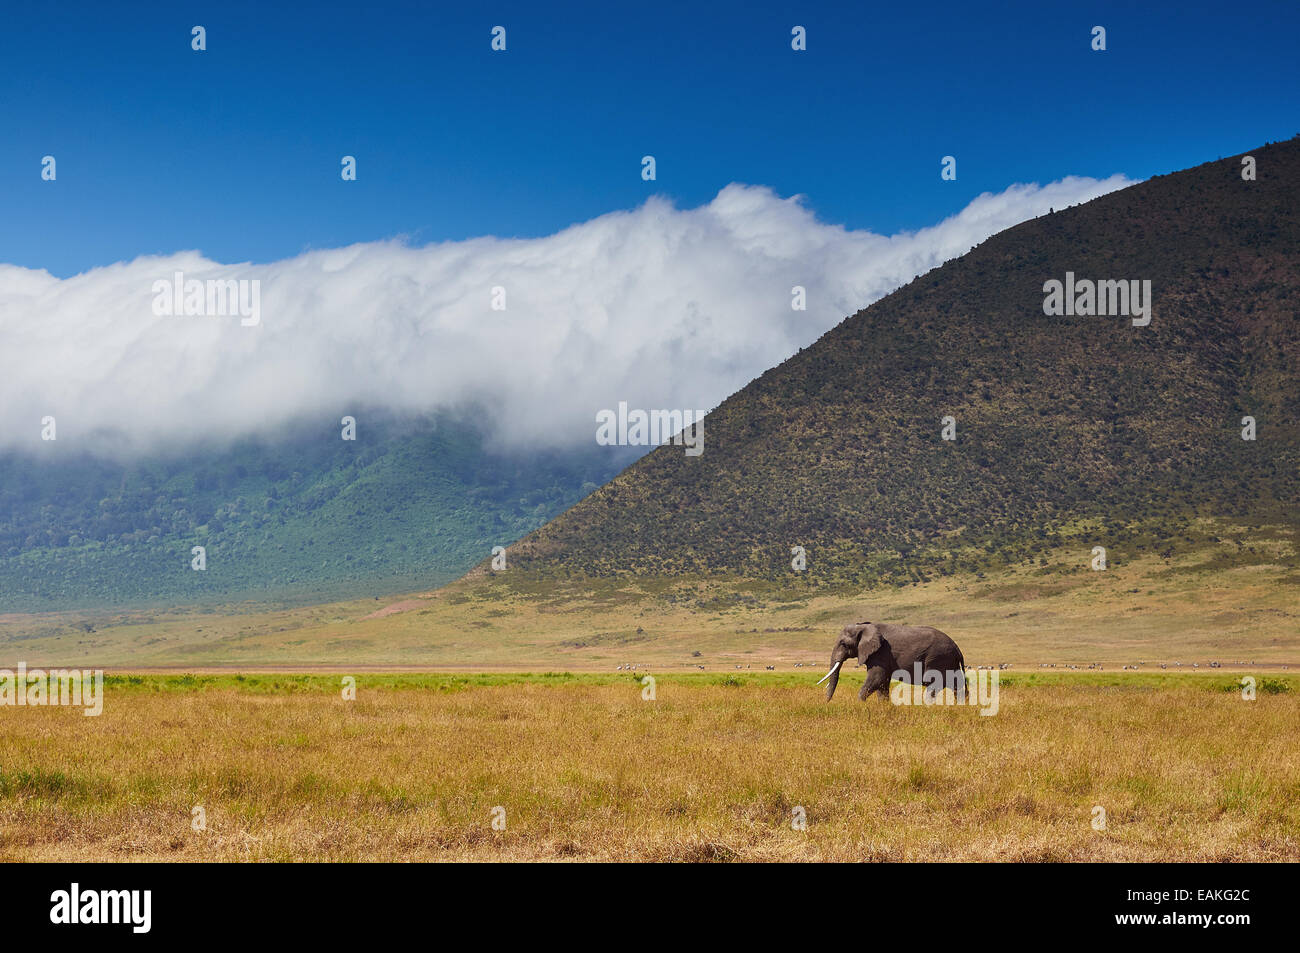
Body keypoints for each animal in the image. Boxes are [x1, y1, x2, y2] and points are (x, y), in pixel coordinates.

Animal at [816, 624, 972, 696]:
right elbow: (882, 683)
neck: (864, 626)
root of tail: (957, 648)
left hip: (939, 658)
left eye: (843, 644)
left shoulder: (881, 653)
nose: (826, 703)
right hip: (949, 661)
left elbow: (876, 679)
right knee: (957, 685)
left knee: (934, 685)